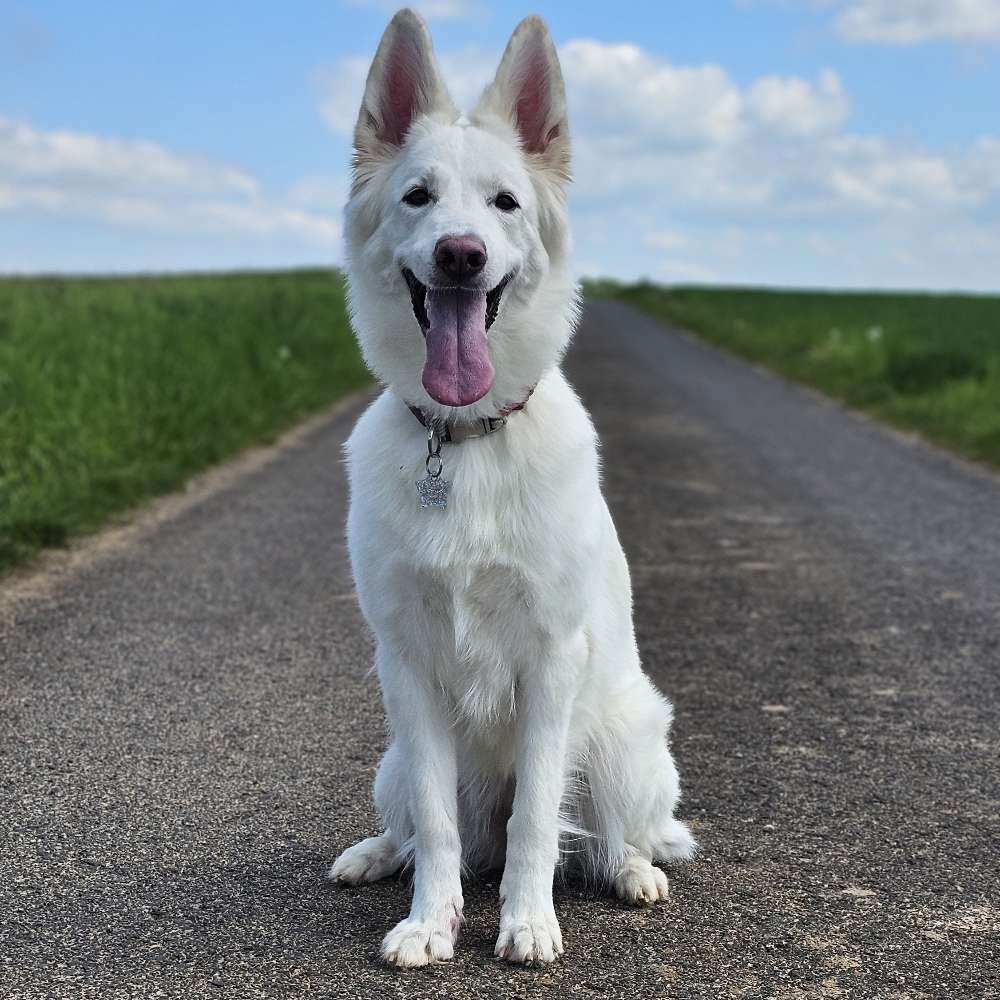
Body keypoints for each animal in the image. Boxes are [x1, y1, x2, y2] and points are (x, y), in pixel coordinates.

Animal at [332, 9, 692, 968]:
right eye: (418, 197)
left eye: (504, 204)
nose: (461, 255)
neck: (462, 443)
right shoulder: (407, 666)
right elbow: (437, 827)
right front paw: (430, 924)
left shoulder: (550, 661)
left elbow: (536, 818)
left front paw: (528, 922)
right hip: (389, 758)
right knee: (426, 828)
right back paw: (375, 855)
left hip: (625, 745)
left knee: (604, 835)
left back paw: (633, 872)